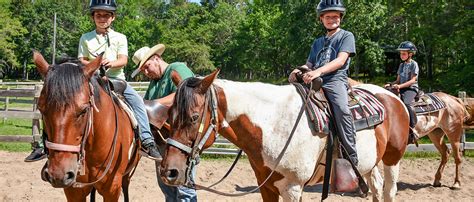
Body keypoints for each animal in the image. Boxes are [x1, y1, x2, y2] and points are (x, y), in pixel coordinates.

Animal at [34, 51, 140, 201]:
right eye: (41, 109)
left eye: (84, 110)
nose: (58, 174)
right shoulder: (74, 190)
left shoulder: (112, 188)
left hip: (127, 175)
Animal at [159, 70, 412, 201]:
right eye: (169, 115)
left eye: (193, 117)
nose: (170, 172)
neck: (273, 125)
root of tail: (391, 96)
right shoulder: (266, 187)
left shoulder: (293, 188)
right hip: (370, 164)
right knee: (376, 187)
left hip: (392, 159)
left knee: (389, 190)